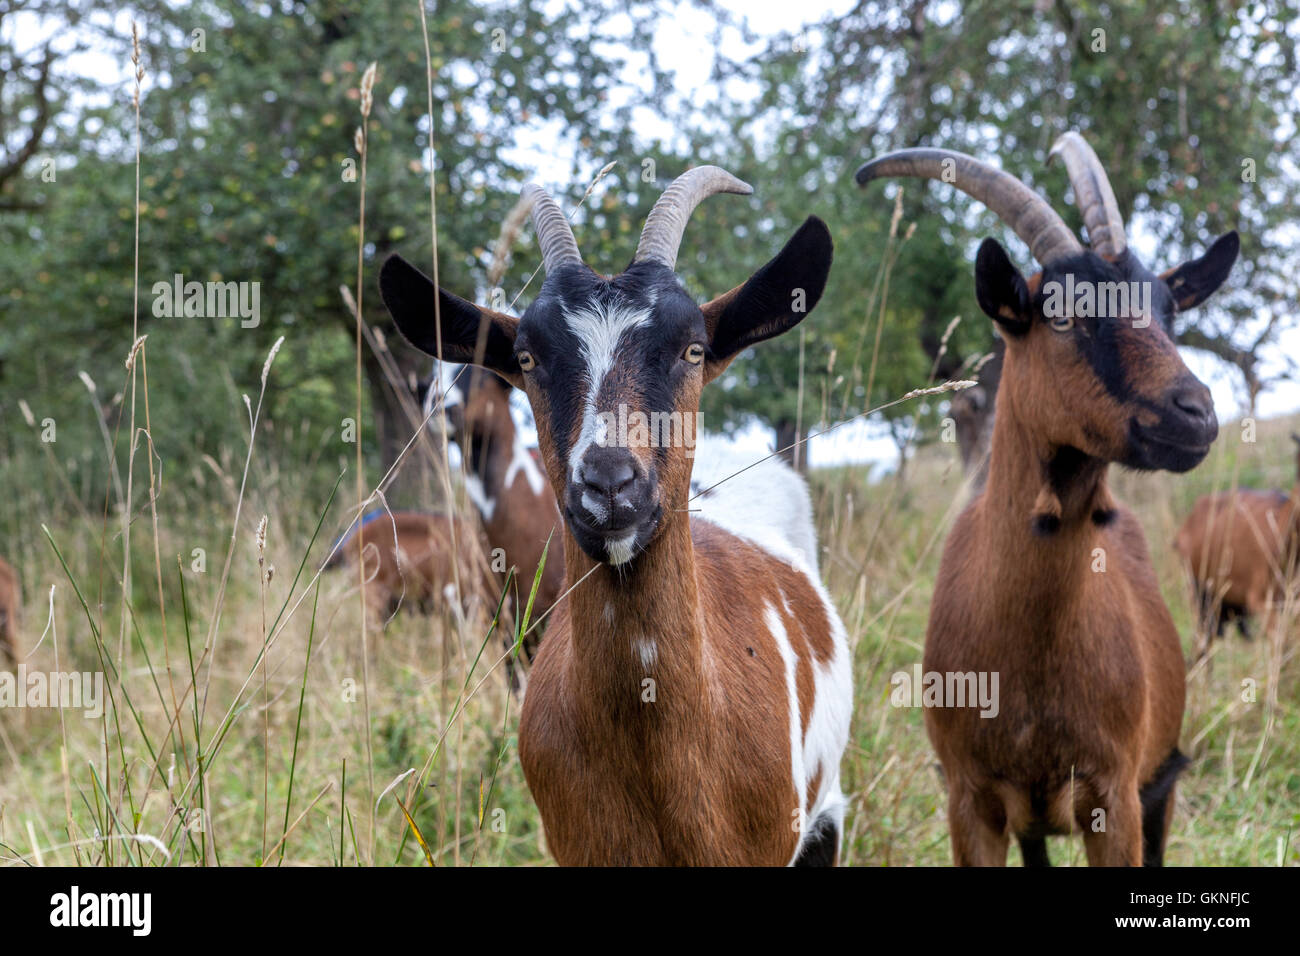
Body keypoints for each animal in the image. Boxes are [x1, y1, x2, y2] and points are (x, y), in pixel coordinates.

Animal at [857, 132, 1238, 866]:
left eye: (1168, 310)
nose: (1196, 415)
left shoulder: (1115, 798)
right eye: (1063, 312)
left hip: (1160, 783)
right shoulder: (970, 799)